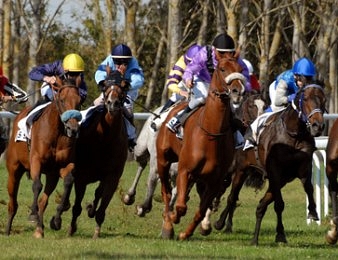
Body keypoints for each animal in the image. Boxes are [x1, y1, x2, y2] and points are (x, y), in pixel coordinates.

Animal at [5, 76, 82, 237]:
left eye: (79, 101)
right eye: (62, 100)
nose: (73, 129)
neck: (56, 133)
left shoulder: (62, 166)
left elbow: (68, 181)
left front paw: (57, 219)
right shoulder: (36, 160)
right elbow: (37, 185)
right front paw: (33, 215)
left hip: (51, 176)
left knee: (43, 201)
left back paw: (39, 230)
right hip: (14, 170)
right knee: (12, 202)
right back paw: (8, 229)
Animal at [66, 70, 129, 239]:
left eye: (123, 86)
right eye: (105, 86)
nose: (113, 103)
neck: (105, 139)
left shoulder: (112, 177)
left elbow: (101, 204)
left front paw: (96, 231)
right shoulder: (81, 176)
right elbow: (76, 206)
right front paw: (71, 229)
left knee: (98, 193)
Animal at [156, 56, 246, 240]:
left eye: (240, 69)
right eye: (222, 69)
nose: (237, 91)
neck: (211, 134)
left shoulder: (215, 180)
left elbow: (201, 210)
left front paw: (186, 233)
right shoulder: (184, 170)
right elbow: (181, 206)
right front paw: (174, 219)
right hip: (163, 160)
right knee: (166, 192)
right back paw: (167, 226)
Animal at [214, 84, 328, 246]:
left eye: (324, 100)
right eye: (305, 98)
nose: (318, 125)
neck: (294, 135)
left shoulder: (299, 168)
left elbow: (308, 187)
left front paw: (312, 211)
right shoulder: (274, 170)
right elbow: (279, 205)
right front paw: (280, 234)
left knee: (259, 204)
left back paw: (253, 238)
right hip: (241, 170)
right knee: (231, 197)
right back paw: (220, 223)